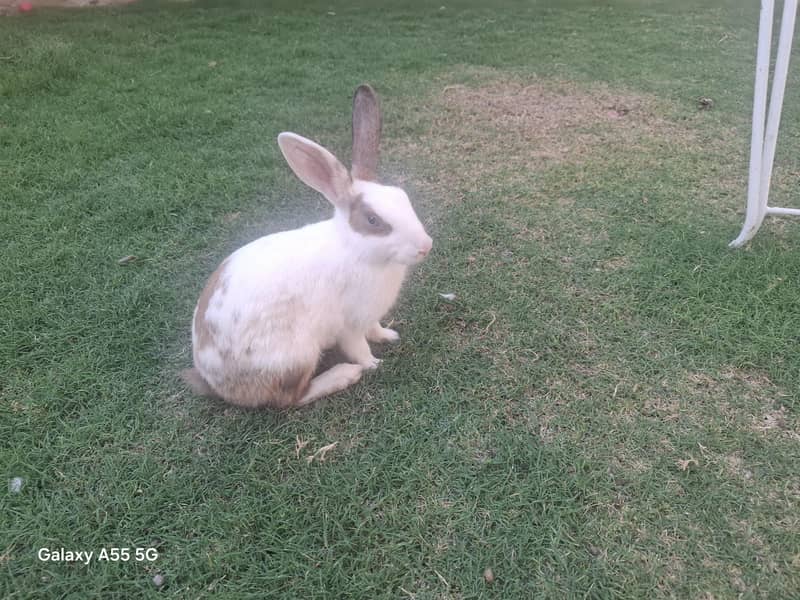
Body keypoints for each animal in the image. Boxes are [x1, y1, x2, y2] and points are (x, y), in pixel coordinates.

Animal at [181, 84, 433, 408]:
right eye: (373, 220)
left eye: (403, 196)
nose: (426, 246)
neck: (357, 251)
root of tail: (216, 382)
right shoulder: (349, 325)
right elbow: (359, 348)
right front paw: (375, 364)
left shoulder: (369, 316)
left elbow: (375, 329)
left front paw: (389, 336)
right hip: (296, 355)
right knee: (291, 398)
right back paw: (343, 375)